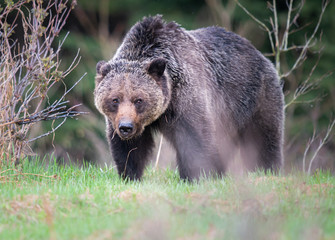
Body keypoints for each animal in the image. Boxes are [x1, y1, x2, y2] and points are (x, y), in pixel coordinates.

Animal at [93, 15, 284, 180]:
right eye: (115, 99)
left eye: (139, 100)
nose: (126, 127)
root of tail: (260, 54)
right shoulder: (124, 123)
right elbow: (129, 149)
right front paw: (130, 175)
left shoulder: (187, 101)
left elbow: (195, 141)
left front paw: (196, 176)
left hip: (255, 98)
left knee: (263, 138)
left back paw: (267, 171)